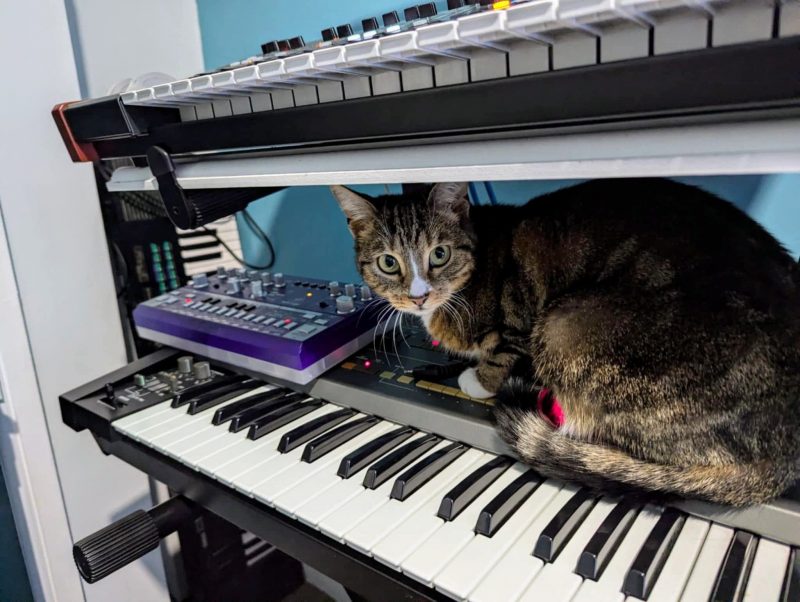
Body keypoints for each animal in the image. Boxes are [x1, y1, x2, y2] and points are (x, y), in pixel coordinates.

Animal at [332, 177, 800, 502]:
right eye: (388, 263)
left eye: (440, 254)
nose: (418, 296)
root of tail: (784, 458)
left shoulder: (520, 324)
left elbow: (504, 352)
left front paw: (475, 379)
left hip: (565, 327)